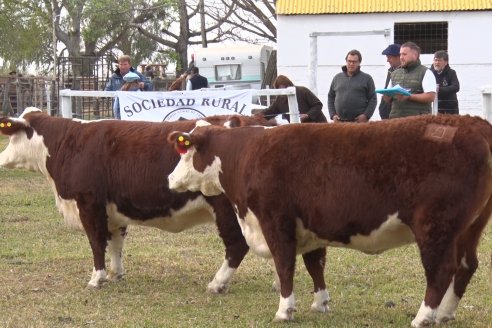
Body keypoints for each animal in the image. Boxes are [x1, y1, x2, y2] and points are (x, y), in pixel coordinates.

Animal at [0, 107, 274, 292]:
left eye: (11, 136)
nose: (1, 158)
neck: (68, 142)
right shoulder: (112, 209)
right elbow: (116, 243)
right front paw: (115, 274)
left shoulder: (89, 203)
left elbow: (96, 243)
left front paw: (96, 279)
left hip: (226, 208)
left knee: (236, 245)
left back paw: (217, 283)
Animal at [168, 114, 492, 326]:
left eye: (186, 152)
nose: (170, 179)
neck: (247, 154)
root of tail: (475, 123)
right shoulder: (311, 227)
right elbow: (315, 265)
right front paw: (319, 303)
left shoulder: (276, 221)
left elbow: (285, 266)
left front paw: (284, 310)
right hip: (470, 227)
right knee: (467, 265)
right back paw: (446, 313)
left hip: (436, 226)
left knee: (441, 270)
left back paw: (424, 317)